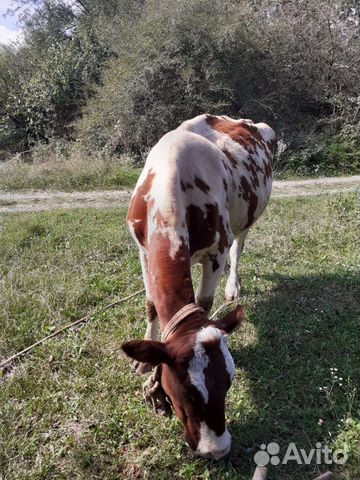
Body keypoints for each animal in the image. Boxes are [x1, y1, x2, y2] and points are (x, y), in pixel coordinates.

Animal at [121, 113, 276, 462]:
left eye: (229, 382)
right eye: (187, 392)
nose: (216, 450)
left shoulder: (215, 253)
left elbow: (204, 301)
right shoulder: (142, 249)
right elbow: (151, 305)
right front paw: (145, 365)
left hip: (248, 217)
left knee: (239, 247)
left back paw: (233, 288)